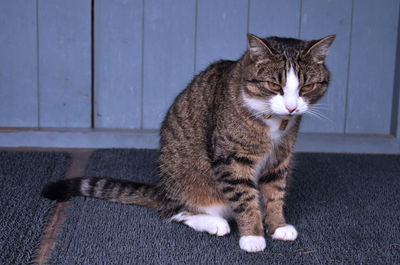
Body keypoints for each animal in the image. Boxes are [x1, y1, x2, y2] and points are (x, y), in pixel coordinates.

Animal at [41, 33, 334, 252]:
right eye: (275, 86)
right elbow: (243, 197)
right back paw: (215, 223)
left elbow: (275, 193)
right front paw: (253, 235)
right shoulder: (230, 158)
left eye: (306, 88)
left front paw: (277, 225)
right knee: (176, 212)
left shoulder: (279, 158)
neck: (274, 123)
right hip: (191, 180)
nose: (292, 107)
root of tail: (163, 190)